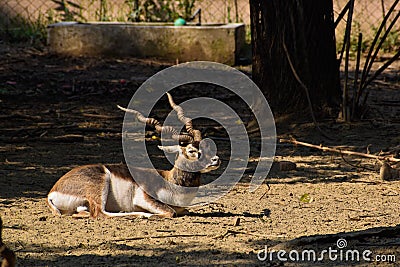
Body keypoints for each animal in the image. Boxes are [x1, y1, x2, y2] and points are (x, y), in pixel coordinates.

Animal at [48, 93, 222, 219]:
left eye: (206, 146)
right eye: (191, 150)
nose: (216, 160)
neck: (170, 182)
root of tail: (52, 191)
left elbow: (184, 210)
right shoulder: (144, 198)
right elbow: (170, 212)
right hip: (100, 184)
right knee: (99, 213)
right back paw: (141, 215)